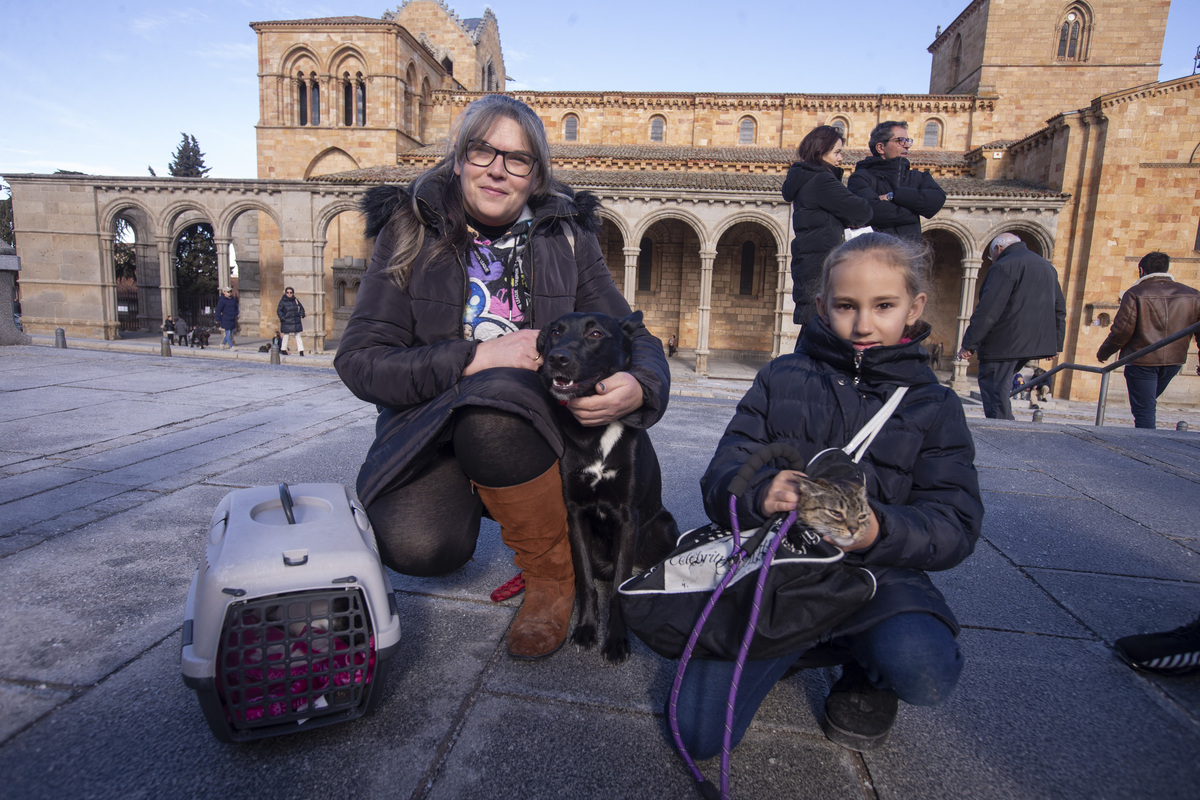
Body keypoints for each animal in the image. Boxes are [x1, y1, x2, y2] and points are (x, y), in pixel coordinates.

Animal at [540, 309, 681, 662]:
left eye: (595, 334)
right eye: (555, 332)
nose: (556, 358)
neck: (598, 433)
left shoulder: (627, 517)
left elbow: (619, 587)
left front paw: (616, 640)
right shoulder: (575, 514)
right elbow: (585, 582)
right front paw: (587, 629)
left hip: (664, 525)